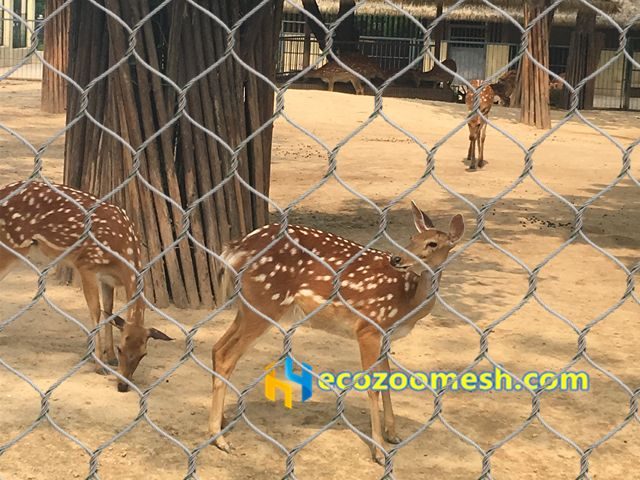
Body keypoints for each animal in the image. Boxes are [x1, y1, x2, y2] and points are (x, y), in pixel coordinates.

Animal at [0, 180, 172, 392]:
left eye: (143, 354)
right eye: (121, 348)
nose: (123, 385)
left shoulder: (108, 279)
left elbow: (109, 311)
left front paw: (109, 358)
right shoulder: (86, 265)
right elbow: (95, 311)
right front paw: (99, 365)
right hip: (11, 244)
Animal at [208, 202, 464, 464]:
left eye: (432, 243)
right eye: (412, 238)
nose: (397, 258)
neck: (407, 301)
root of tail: (233, 249)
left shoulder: (385, 336)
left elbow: (387, 380)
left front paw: (393, 434)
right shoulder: (369, 327)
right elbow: (372, 387)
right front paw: (379, 451)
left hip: (247, 306)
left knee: (218, 348)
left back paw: (223, 422)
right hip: (265, 302)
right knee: (227, 355)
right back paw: (220, 438)